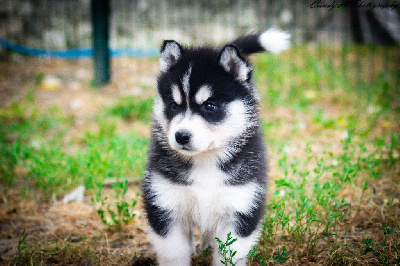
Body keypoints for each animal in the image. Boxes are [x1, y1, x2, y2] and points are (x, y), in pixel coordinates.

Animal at [142, 28, 290, 264]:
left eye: (210, 106)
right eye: (173, 105)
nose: (181, 136)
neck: (205, 160)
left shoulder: (240, 207)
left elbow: (228, 255)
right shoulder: (165, 205)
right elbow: (175, 254)